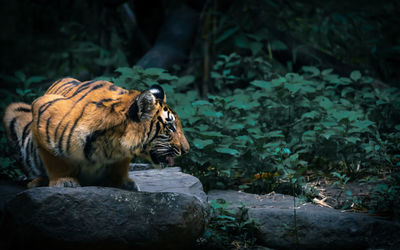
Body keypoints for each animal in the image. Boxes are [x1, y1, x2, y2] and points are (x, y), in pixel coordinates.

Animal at [2, 78, 191, 189]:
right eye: (170, 127)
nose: (186, 150)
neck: (113, 140)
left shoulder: (122, 153)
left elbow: (120, 165)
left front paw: (122, 182)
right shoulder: (41, 111)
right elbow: (55, 160)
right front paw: (64, 181)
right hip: (13, 111)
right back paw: (36, 182)